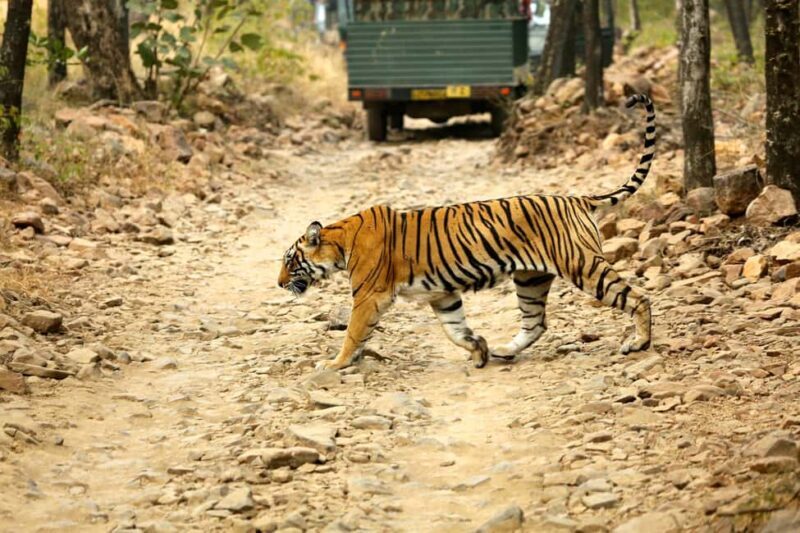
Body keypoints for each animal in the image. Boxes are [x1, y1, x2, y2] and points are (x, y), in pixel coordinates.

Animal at [278, 94, 656, 371]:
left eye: (290, 261)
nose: (280, 284)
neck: (340, 242)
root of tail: (577, 198)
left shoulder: (370, 296)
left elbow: (354, 333)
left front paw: (334, 364)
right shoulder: (442, 295)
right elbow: (455, 330)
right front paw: (479, 349)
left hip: (582, 265)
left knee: (638, 297)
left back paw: (639, 343)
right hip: (530, 278)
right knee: (535, 322)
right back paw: (503, 349)